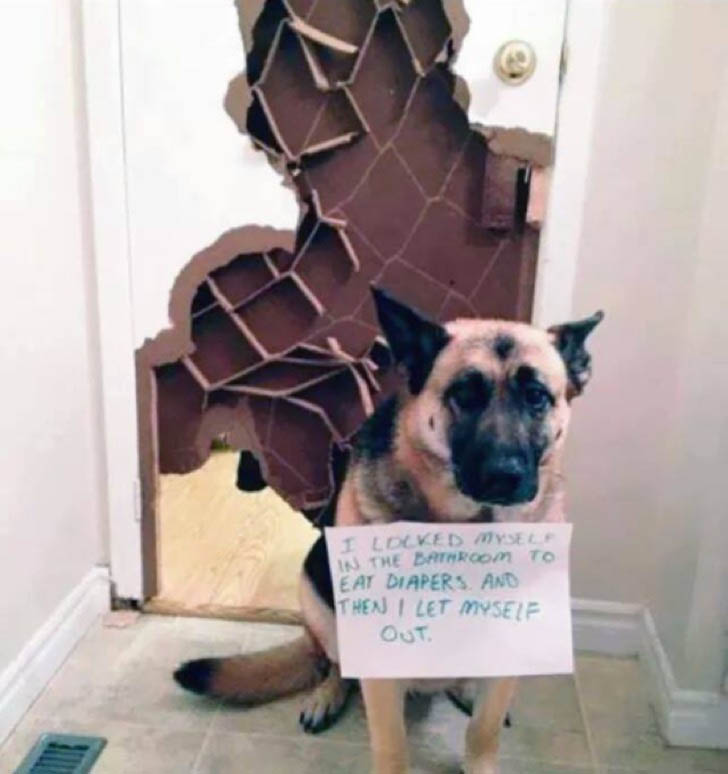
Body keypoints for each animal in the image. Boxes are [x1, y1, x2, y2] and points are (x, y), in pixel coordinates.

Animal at [175, 288, 604, 772]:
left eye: (536, 396)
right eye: (464, 394)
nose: (504, 475)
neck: (467, 531)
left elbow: (483, 731)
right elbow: (392, 745)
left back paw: (462, 688)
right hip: (316, 593)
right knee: (334, 666)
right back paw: (327, 694)